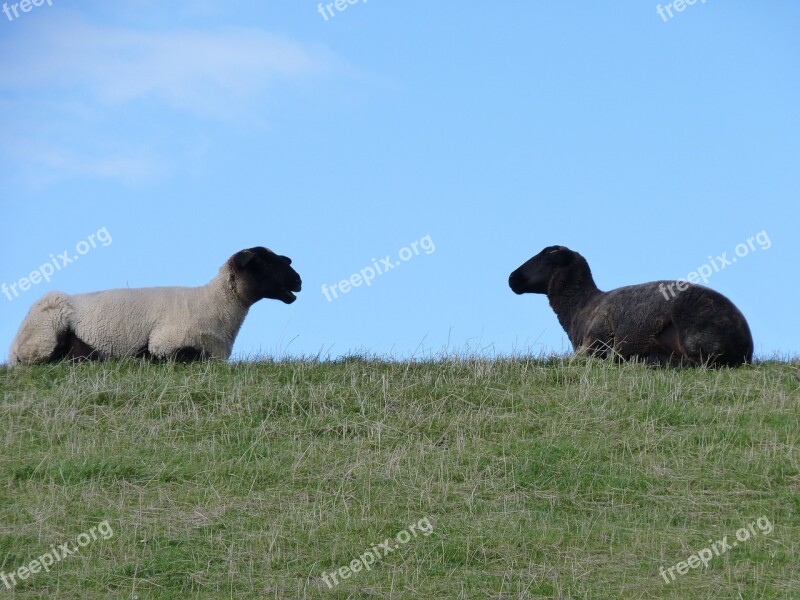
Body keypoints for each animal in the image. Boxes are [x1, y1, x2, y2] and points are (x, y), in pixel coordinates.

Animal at [7, 245, 302, 366]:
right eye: (262, 262)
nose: (298, 280)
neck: (214, 304)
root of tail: (12, 349)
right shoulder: (166, 343)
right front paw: (141, 359)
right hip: (47, 331)